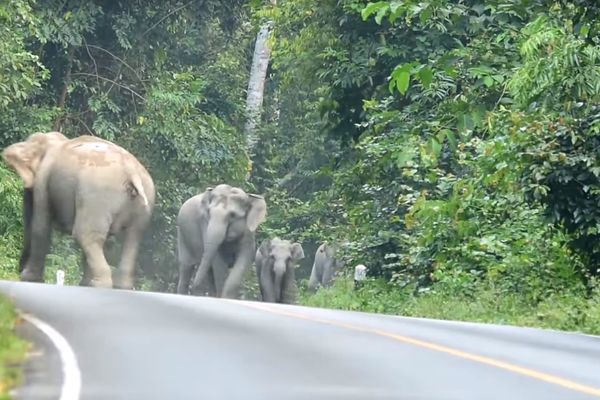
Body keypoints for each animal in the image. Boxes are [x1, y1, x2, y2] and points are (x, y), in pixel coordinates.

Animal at [1, 131, 155, 288]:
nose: (20, 269)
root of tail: (132, 172)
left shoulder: (43, 181)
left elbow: (40, 226)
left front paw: (30, 279)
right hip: (143, 199)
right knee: (132, 238)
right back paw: (118, 286)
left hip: (97, 195)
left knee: (86, 234)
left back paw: (97, 285)